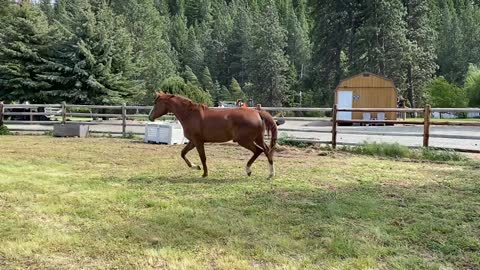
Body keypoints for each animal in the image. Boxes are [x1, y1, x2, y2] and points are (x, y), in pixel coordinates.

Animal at [149, 94, 278, 178]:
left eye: (156, 103)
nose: (150, 117)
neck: (190, 114)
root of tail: (257, 112)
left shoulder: (198, 141)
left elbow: (203, 157)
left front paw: (204, 173)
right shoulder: (193, 141)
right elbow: (183, 153)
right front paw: (196, 167)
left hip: (244, 140)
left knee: (258, 150)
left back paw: (249, 170)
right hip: (257, 138)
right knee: (267, 150)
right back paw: (270, 173)